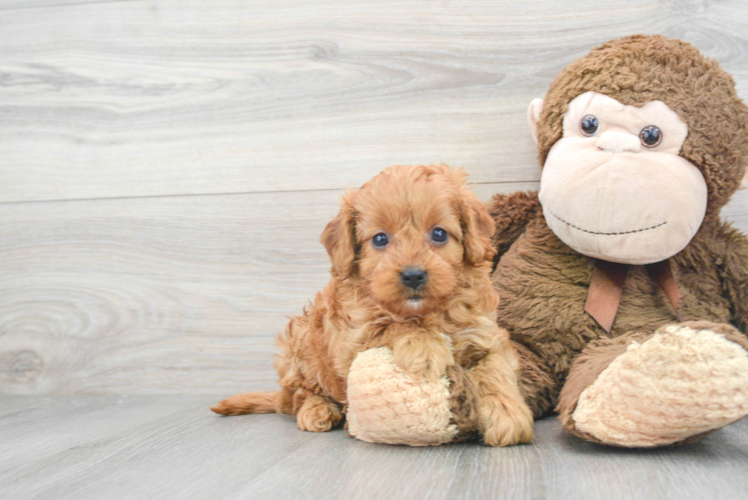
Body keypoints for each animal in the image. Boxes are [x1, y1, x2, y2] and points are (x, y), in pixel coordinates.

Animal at [213, 164, 536, 446]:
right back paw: (317, 410)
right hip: (299, 345)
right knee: (299, 395)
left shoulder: (485, 335)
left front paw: (508, 415)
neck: (425, 312)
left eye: (439, 233)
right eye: (380, 239)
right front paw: (425, 348)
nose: (413, 275)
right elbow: (390, 324)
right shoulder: (352, 341)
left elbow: (496, 371)